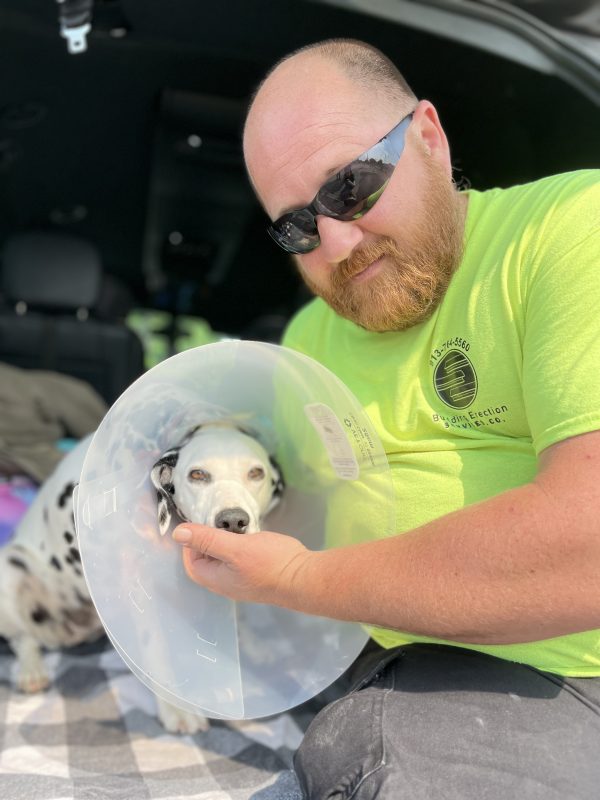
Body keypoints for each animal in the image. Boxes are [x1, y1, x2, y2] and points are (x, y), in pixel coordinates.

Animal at [0, 422, 284, 736]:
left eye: (256, 473)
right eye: (197, 474)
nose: (233, 521)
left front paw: (251, 647)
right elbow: (157, 653)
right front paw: (176, 707)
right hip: (10, 571)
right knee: (23, 639)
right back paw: (32, 671)